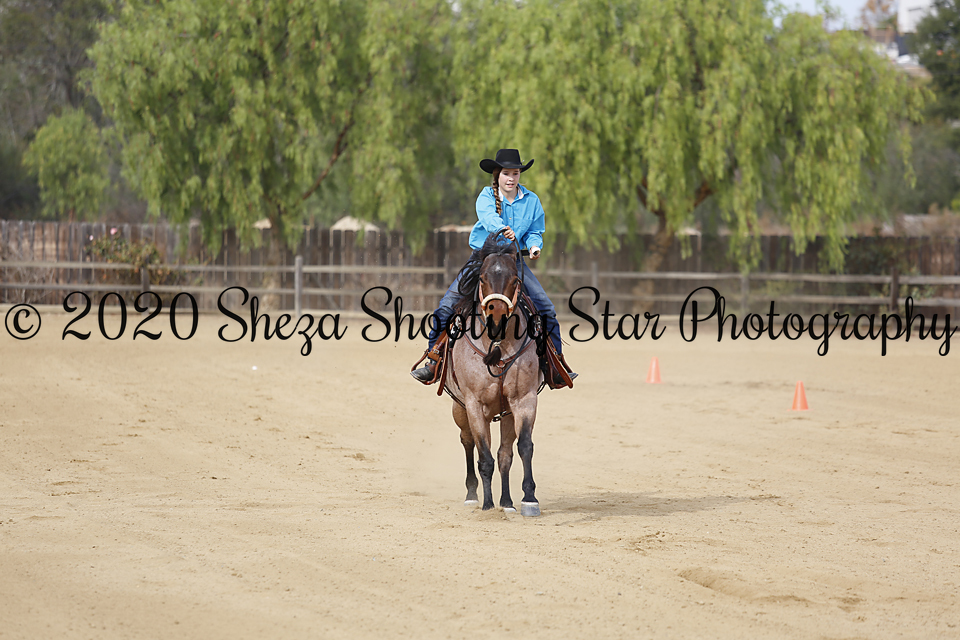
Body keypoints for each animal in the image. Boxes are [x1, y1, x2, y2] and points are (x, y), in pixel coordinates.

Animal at [442, 234, 544, 516]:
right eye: (482, 278)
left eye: (515, 280)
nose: (496, 315)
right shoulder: (474, 404)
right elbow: (484, 456)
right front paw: (487, 505)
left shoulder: (524, 400)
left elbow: (523, 447)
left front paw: (528, 499)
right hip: (460, 408)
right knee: (468, 442)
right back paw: (472, 495)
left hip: (505, 412)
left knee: (504, 454)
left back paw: (507, 502)